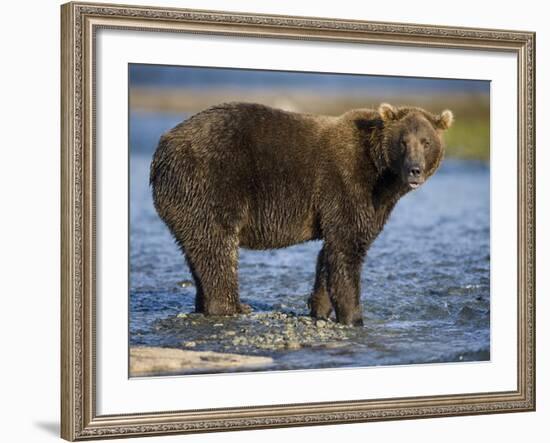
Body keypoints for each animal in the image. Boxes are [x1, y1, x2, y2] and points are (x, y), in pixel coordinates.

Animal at [150, 103, 452, 326]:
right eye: (403, 142)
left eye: (426, 142)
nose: (414, 170)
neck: (383, 177)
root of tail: (162, 147)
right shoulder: (347, 185)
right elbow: (347, 249)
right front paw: (354, 316)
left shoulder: (362, 203)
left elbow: (329, 255)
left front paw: (320, 307)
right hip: (209, 181)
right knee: (218, 247)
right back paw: (233, 306)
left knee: (198, 249)